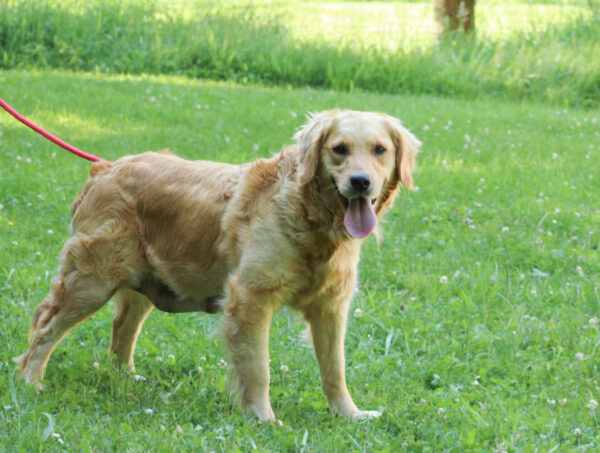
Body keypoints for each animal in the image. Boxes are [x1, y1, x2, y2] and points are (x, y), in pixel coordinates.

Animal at [16, 109, 422, 420]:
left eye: (379, 150)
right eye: (339, 150)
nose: (360, 182)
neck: (311, 217)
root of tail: (105, 168)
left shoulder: (331, 308)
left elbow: (335, 370)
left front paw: (349, 414)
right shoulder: (250, 299)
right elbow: (259, 369)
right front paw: (262, 418)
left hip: (140, 284)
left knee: (121, 331)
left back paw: (125, 379)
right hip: (91, 280)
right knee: (45, 328)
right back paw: (30, 381)